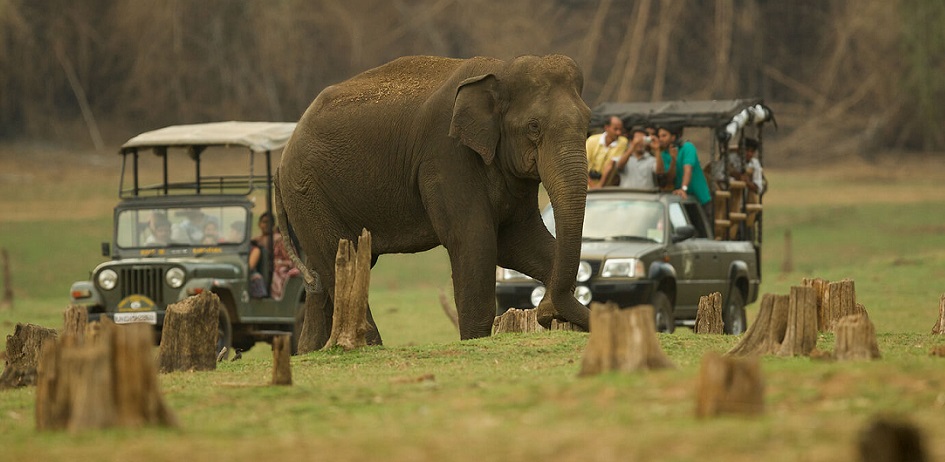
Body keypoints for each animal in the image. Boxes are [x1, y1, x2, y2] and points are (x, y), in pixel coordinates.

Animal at [272, 54, 592, 346]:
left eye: (589, 122)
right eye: (534, 127)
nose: (546, 313)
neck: (502, 68)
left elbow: (520, 242)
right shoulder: (446, 156)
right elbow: (475, 241)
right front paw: (474, 341)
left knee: (322, 281)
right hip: (308, 191)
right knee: (339, 263)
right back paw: (367, 347)